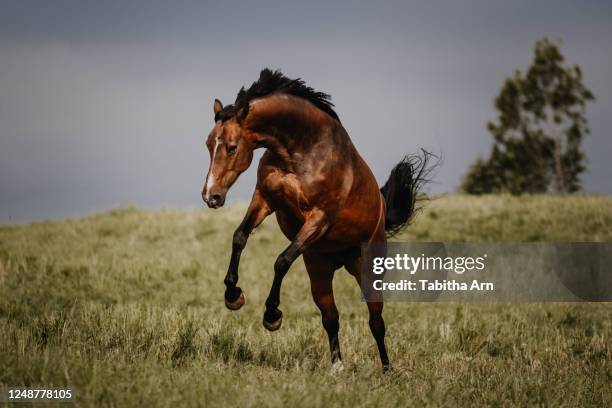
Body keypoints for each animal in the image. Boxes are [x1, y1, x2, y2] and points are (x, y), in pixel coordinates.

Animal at [201, 69, 426, 370]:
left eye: (232, 147)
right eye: (208, 144)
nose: (210, 196)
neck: (302, 151)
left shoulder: (320, 217)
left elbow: (282, 260)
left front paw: (271, 315)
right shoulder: (265, 198)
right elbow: (240, 237)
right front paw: (233, 296)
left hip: (368, 272)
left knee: (376, 321)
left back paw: (388, 369)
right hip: (319, 270)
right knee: (331, 318)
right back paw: (337, 366)